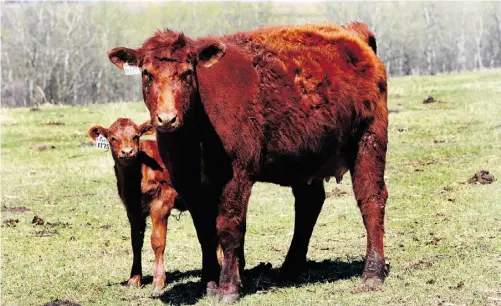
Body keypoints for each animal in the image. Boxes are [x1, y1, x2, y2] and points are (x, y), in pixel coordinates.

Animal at [108, 22, 386, 302]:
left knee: (371, 199)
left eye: (187, 73)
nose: (167, 118)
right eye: (146, 74)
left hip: (369, 139)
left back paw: (373, 273)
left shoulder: (235, 175)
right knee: (309, 204)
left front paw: (228, 288)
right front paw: (208, 285)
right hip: (305, 157)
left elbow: (228, 228)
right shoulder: (187, 183)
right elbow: (204, 232)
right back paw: (290, 268)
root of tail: (351, 32)